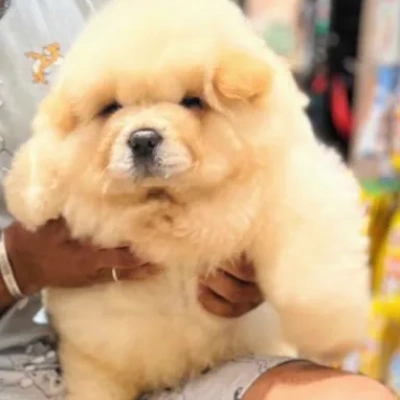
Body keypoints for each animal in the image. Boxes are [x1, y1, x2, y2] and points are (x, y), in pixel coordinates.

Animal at [4, 0, 370, 400]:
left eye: (192, 101)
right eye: (112, 108)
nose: (142, 138)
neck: (169, 206)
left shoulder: (287, 178)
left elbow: (307, 257)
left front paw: (335, 334)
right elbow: (43, 157)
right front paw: (26, 196)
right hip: (95, 371)